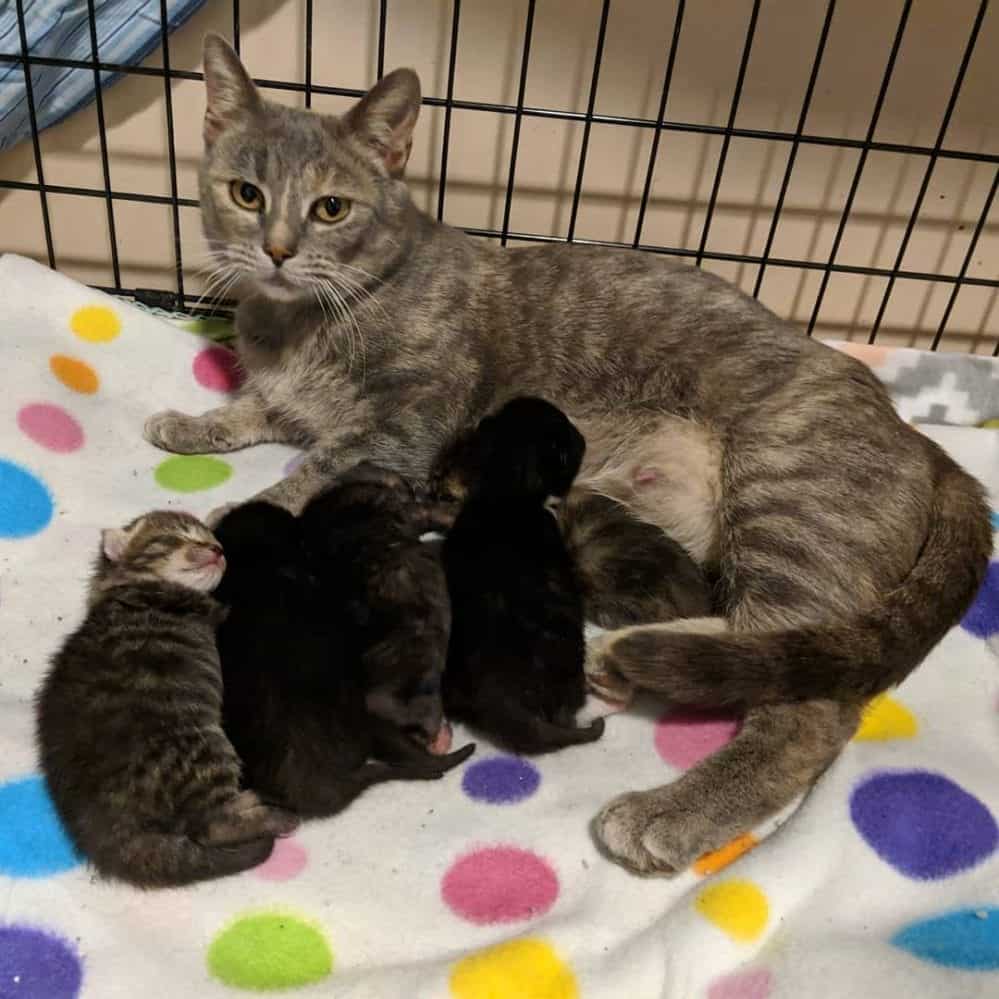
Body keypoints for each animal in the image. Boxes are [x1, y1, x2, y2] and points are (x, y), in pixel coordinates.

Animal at [36, 516, 300, 892]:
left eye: (211, 537)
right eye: (177, 537)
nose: (217, 550)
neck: (133, 584)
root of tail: (104, 826)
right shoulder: (205, 605)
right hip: (201, 750)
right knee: (209, 825)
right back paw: (275, 817)